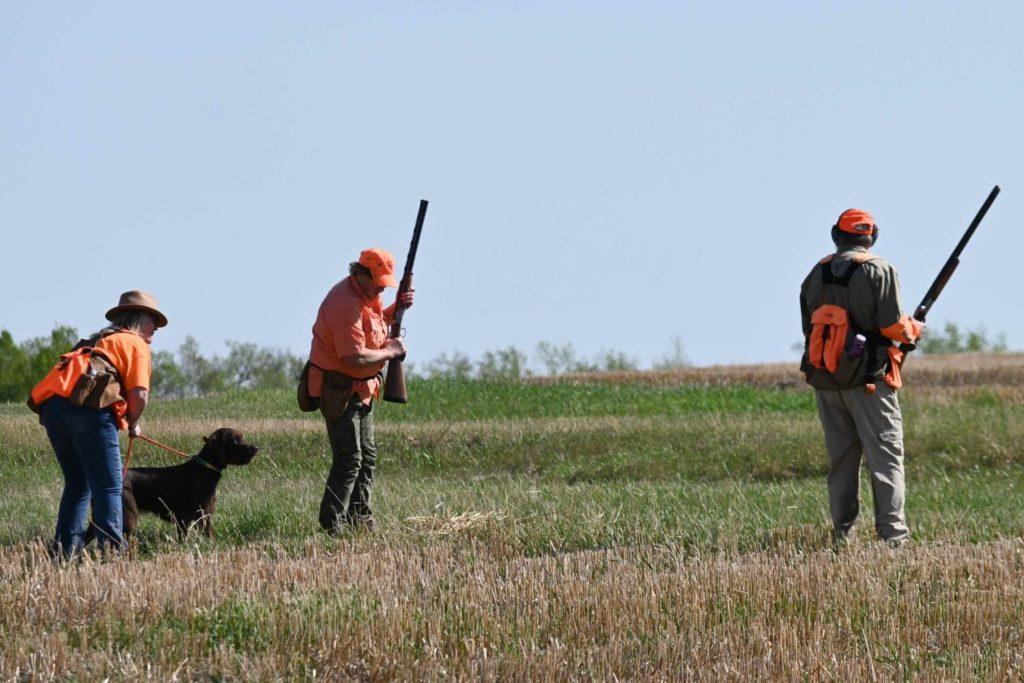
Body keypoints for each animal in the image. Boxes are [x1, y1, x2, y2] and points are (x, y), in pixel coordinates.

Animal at [120, 428, 260, 540]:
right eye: (235, 440)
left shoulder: (205, 515)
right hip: (130, 516)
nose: (256, 448)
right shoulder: (188, 518)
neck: (204, 468)